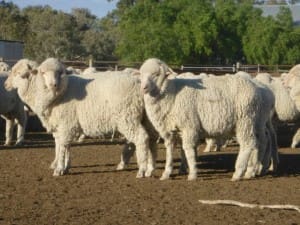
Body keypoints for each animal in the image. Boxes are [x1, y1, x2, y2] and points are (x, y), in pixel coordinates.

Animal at [5, 58, 157, 178]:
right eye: (43, 73)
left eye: (60, 73)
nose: (5, 84)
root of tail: (139, 81)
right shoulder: (63, 125)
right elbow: (63, 146)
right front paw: (65, 167)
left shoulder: (66, 123)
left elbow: (62, 146)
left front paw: (59, 169)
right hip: (142, 118)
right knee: (146, 139)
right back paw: (142, 167)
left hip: (127, 116)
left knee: (141, 138)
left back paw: (142, 170)